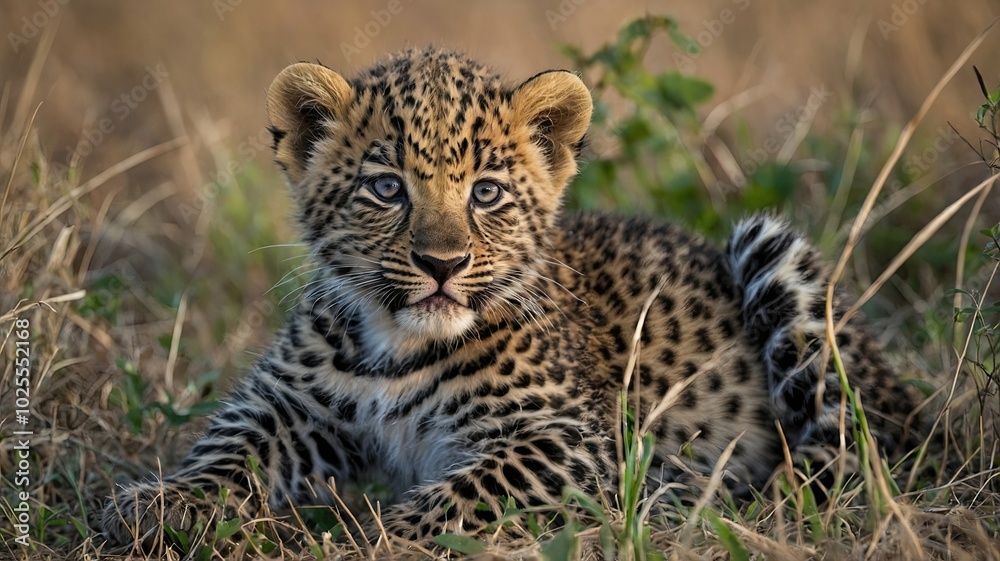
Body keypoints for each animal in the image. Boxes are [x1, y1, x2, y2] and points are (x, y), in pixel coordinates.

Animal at [101, 47, 915, 549]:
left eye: (486, 193)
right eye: (386, 188)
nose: (441, 264)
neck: (394, 344)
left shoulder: (570, 437)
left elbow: (467, 490)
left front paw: (372, 537)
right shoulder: (289, 404)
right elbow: (228, 448)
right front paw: (158, 504)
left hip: (773, 252)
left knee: (856, 457)